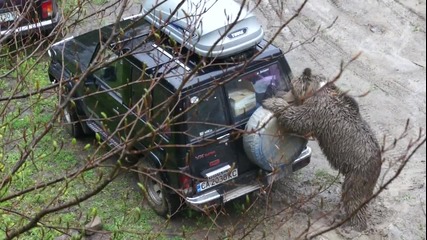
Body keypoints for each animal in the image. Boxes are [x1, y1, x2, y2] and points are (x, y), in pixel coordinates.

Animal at [264, 67, 382, 231]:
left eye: (291, 88)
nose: (280, 93)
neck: (316, 89)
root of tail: (379, 162)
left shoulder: (317, 111)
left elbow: (297, 119)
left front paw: (272, 102)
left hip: (358, 173)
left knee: (353, 197)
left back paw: (353, 224)